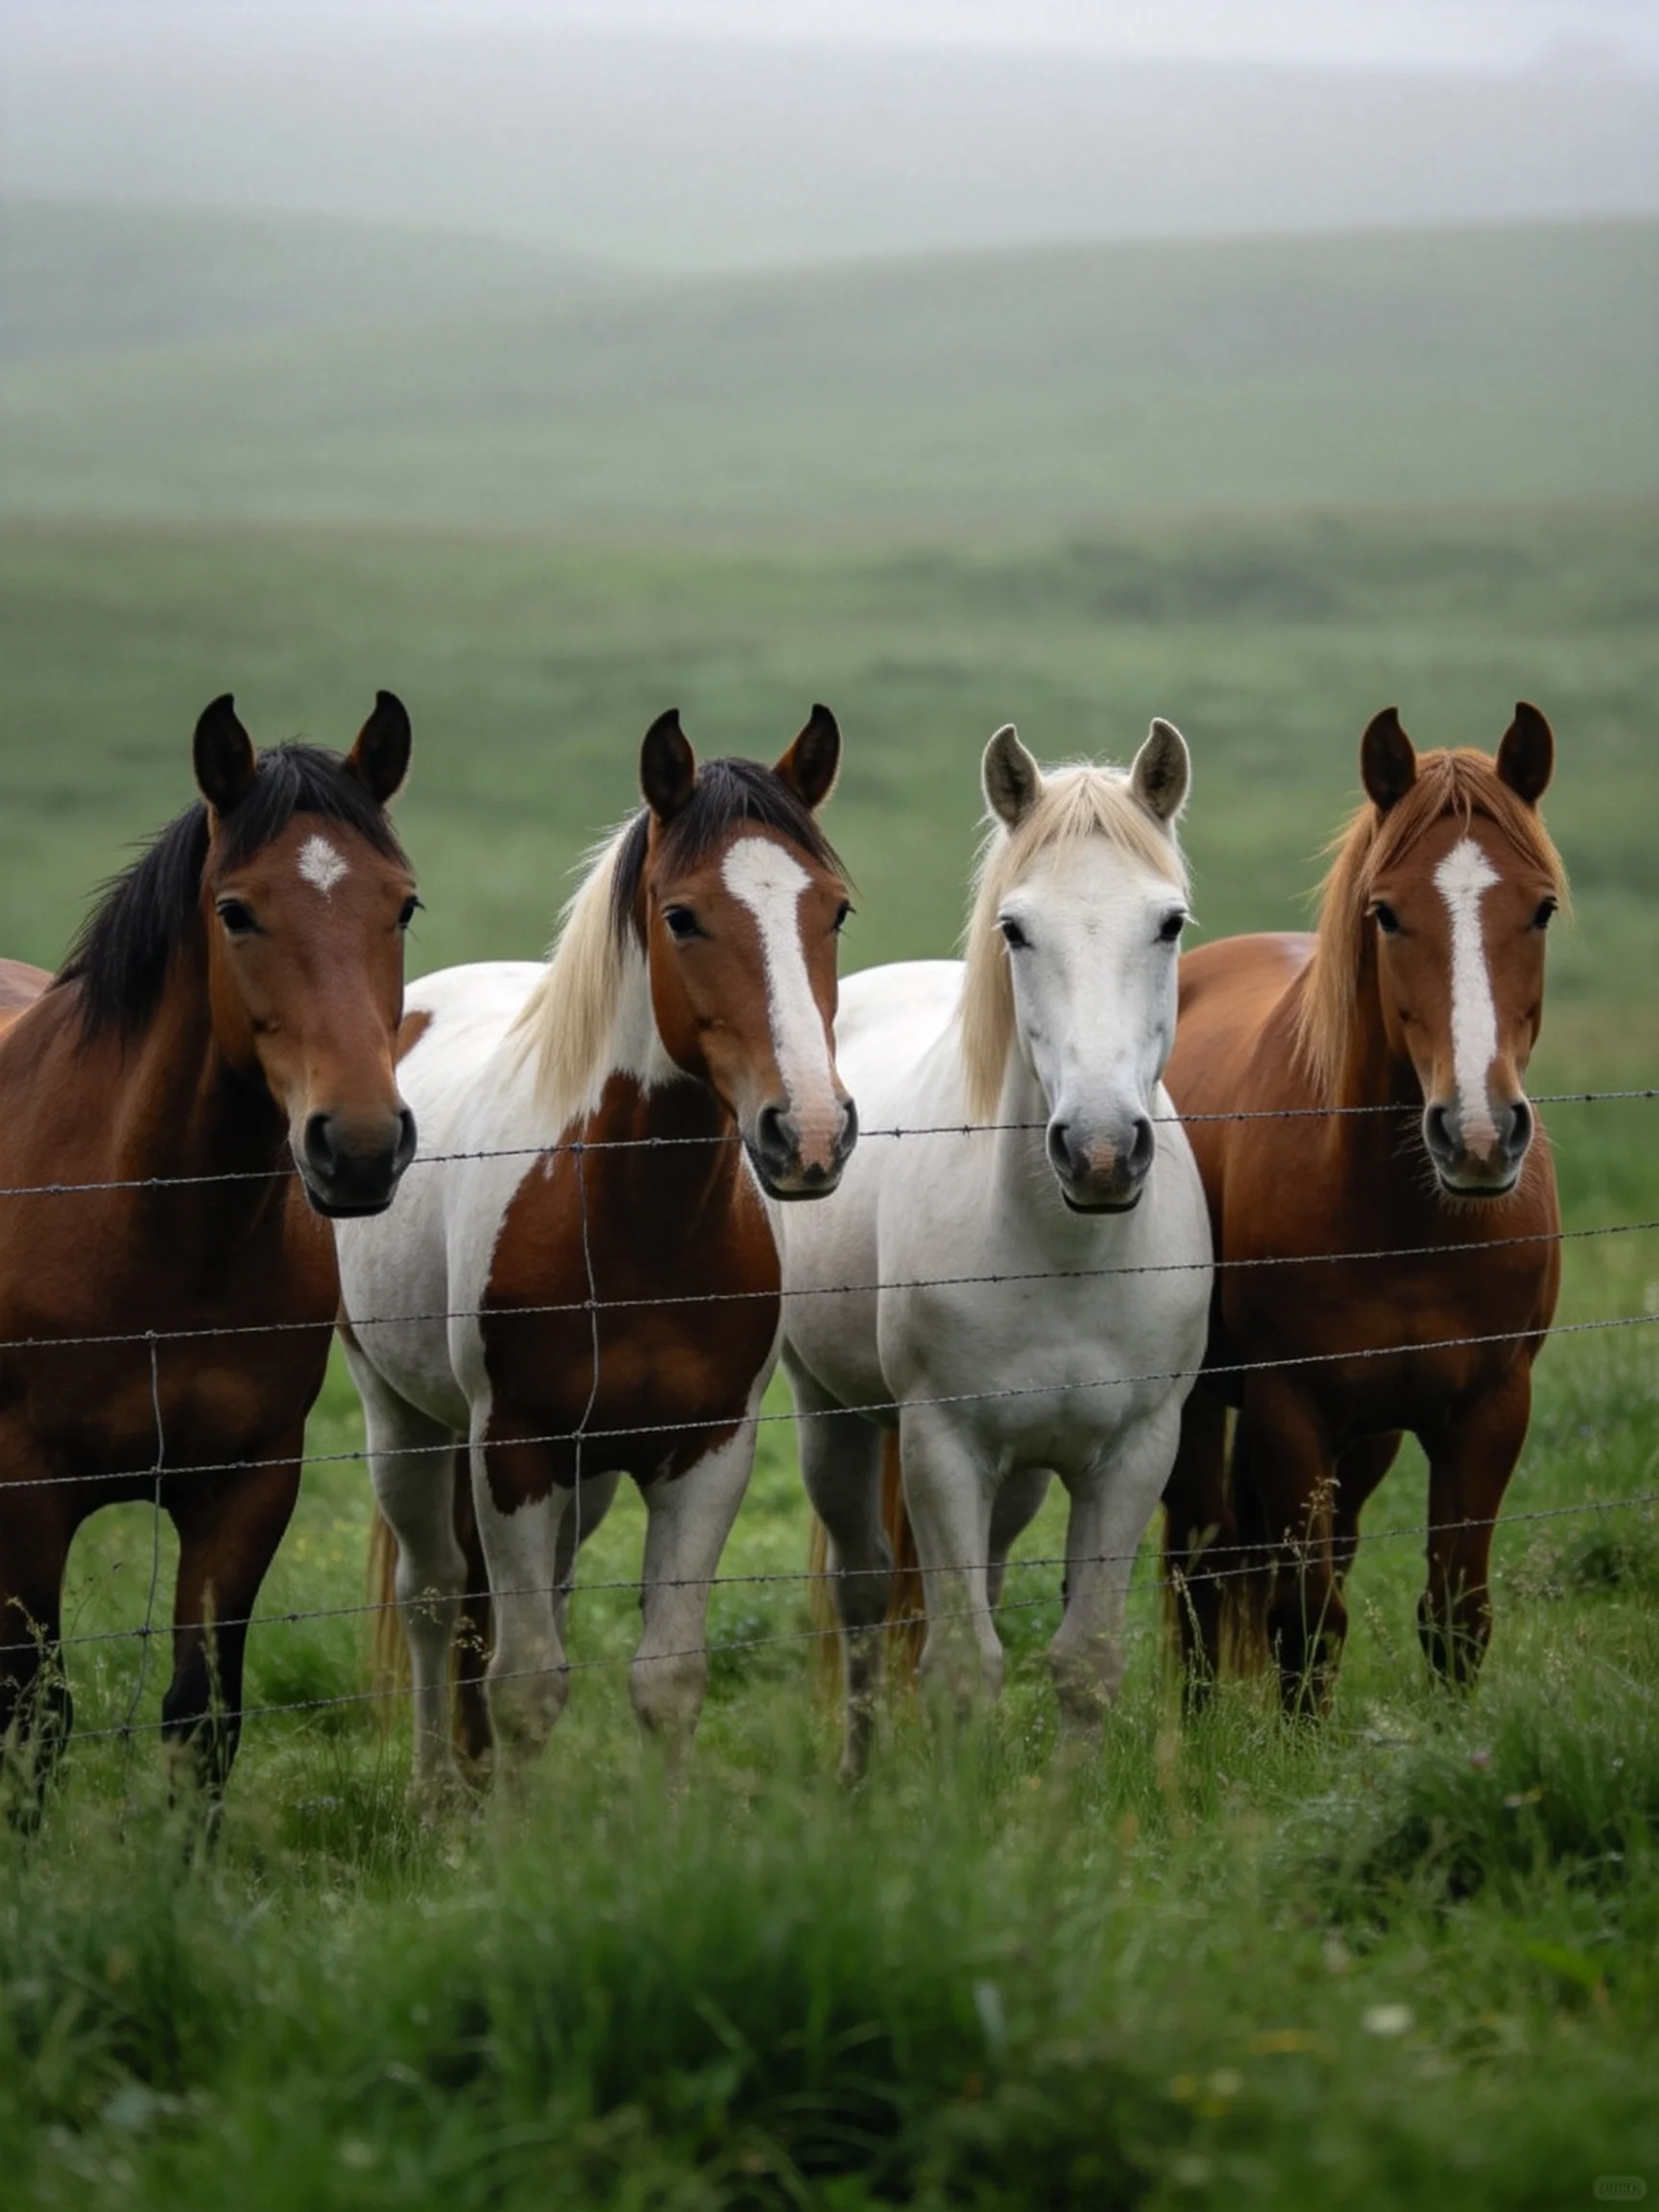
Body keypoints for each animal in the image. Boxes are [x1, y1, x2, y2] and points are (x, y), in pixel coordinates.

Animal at [0, 693, 418, 1805]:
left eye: (403, 906)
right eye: (236, 911)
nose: (361, 1147)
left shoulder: (247, 1486)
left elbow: (201, 1721)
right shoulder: (28, 1496)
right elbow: (36, 1723)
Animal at [340, 707, 855, 1812]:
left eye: (834, 911)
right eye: (683, 916)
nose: (810, 1134)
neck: (634, 1223)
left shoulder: (706, 1452)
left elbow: (667, 1676)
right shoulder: (514, 1448)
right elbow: (528, 1682)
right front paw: (513, 1843)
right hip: (401, 1420)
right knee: (433, 1596)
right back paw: (435, 1791)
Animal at [778, 721, 1212, 1781]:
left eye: (1169, 923)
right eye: (1015, 929)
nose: (1099, 1149)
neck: (1065, 1252)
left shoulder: (1136, 1451)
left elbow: (1084, 1658)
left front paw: (1060, 1809)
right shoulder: (942, 1447)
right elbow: (961, 1666)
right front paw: (957, 1807)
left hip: (1017, 1477)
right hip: (833, 1420)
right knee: (861, 1597)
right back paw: (857, 1777)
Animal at [1161, 704, 1566, 1710]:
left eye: (1541, 907)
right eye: (1386, 913)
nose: (1477, 1133)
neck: (1409, 1228)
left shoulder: (1491, 1408)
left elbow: (1456, 1615)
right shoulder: (1288, 1408)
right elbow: (1305, 1621)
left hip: (1369, 1438)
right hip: (1201, 1406)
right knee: (1197, 1564)